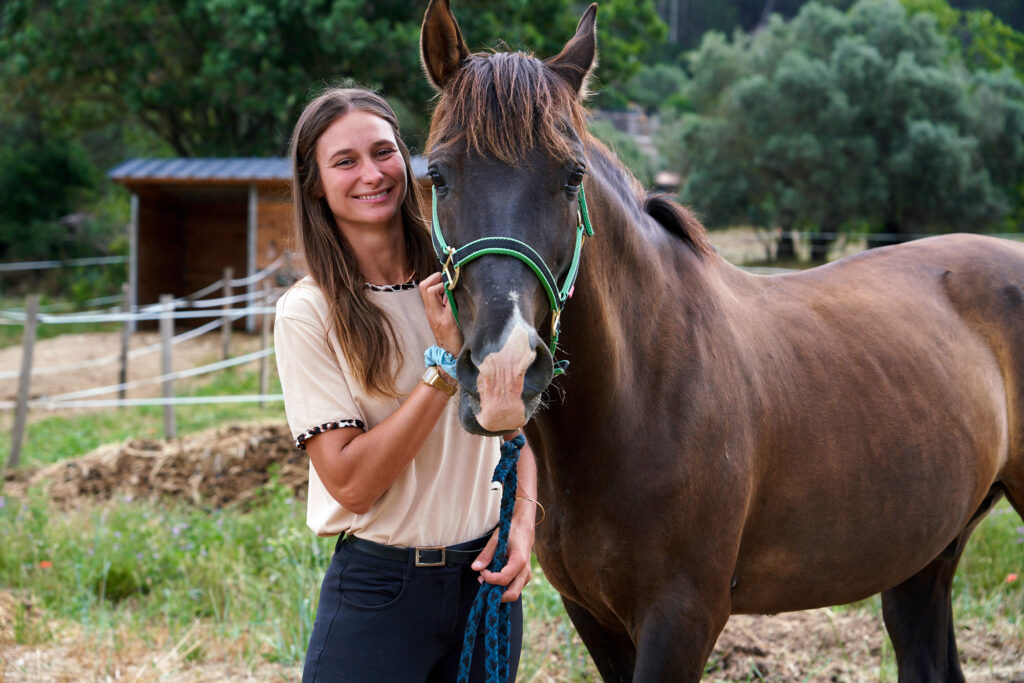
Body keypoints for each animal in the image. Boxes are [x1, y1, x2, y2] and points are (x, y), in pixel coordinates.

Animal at [420, 1, 1024, 680]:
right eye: (437, 174)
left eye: (572, 175)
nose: (505, 370)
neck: (641, 391)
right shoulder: (593, 616)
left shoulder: (683, 619)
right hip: (923, 560)